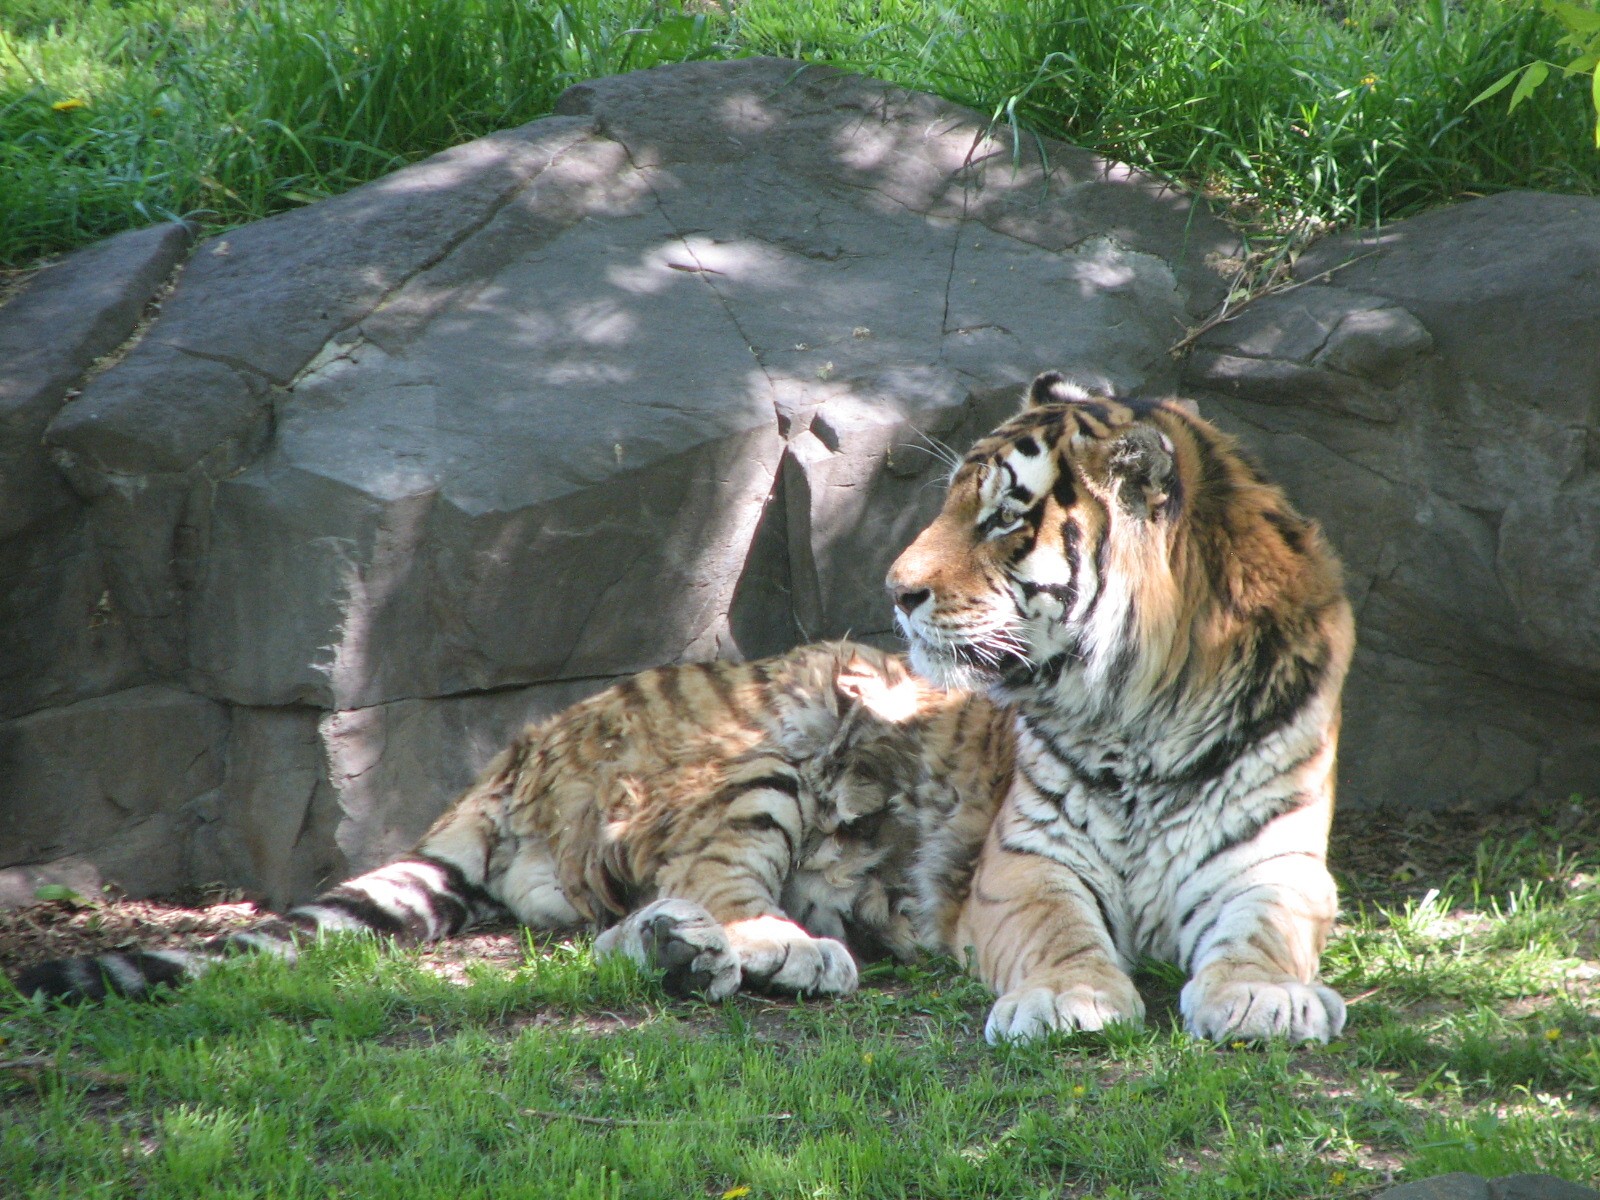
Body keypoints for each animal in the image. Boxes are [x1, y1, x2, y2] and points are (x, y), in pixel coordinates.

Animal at [10, 641, 1013, 1005]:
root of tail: (509, 760)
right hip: (764, 764)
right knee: (715, 881)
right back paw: (788, 951)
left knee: (624, 922)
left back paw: (686, 954)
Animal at [886, 371, 1355, 1045]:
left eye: (1004, 518)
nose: (896, 591)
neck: (1142, 725)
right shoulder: (1026, 858)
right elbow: (1055, 927)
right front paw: (1068, 997)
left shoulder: (1275, 859)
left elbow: (1263, 928)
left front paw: (1261, 995)